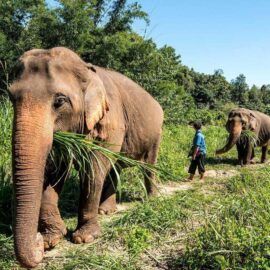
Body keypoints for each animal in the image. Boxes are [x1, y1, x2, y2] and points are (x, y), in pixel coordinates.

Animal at [8, 47, 162, 268]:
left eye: (60, 101)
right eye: (11, 97)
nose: (37, 241)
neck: (86, 68)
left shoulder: (111, 119)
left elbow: (94, 168)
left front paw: (84, 238)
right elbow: (55, 171)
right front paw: (50, 240)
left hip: (156, 131)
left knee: (148, 165)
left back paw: (151, 199)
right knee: (115, 168)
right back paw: (106, 212)